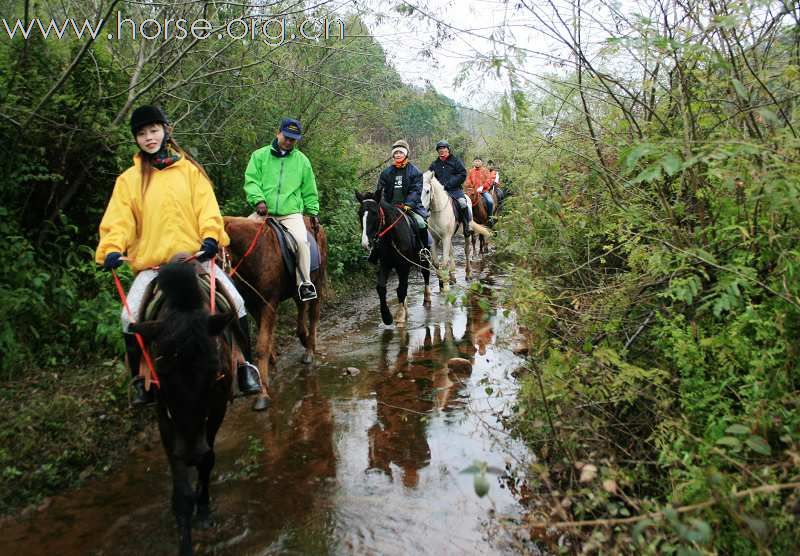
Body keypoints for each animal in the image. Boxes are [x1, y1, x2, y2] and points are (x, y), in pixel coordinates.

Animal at [223, 216, 326, 408]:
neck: (255, 256)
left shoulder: (268, 303)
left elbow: (262, 346)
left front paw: (262, 393)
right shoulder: (253, 304)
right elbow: (266, 338)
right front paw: (271, 363)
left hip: (317, 280)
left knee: (313, 315)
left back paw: (309, 350)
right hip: (296, 288)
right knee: (301, 308)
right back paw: (304, 338)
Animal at [356, 192, 432, 326]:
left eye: (375, 213)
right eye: (360, 213)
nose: (366, 243)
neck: (391, 238)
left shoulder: (404, 265)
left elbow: (401, 289)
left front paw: (400, 316)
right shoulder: (386, 264)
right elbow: (381, 288)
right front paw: (387, 317)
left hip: (423, 257)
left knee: (425, 273)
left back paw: (427, 299)